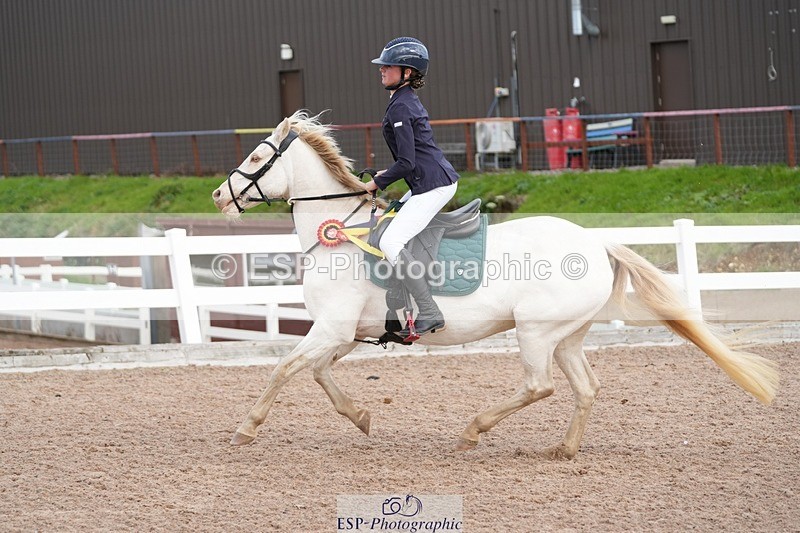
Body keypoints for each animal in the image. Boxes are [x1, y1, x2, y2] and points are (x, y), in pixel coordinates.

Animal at [211, 111, 779, 459]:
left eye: (259, 158)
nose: (219, 196)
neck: (338, 236)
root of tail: (597, 242)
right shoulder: (348, 333)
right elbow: (318, 374)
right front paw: (362, 417)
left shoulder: (331, 329)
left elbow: (284, 369)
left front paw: (246, 428)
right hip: (566, 336)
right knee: (585, 387)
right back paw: (563, 450)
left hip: (534, 331)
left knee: (539, 385)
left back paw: (472, 431)